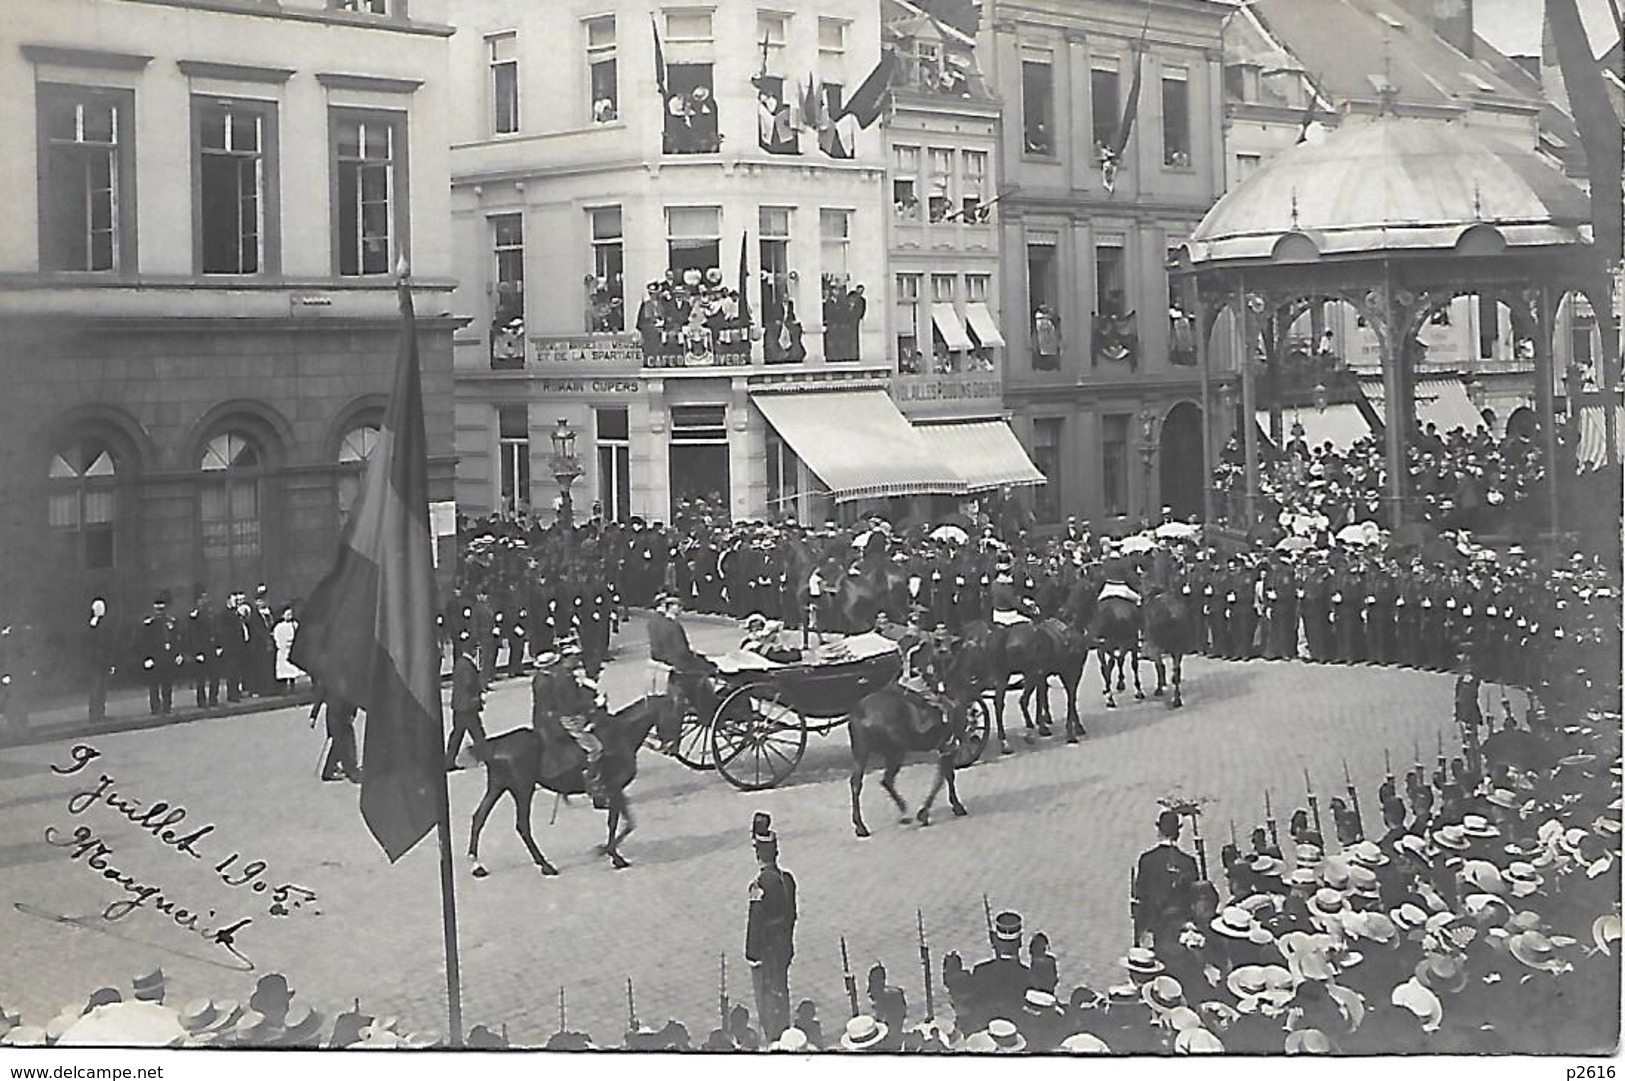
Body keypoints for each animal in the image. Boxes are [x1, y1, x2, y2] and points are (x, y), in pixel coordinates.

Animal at [468, 692, 669, 877]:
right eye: (674, 711)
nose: (668, 745)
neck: (621, 733)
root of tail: (496, 746)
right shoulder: (614, 787)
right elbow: (616, 823)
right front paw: (611, 854)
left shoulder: (616, 790)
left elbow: (627, 822)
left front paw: (608, 851)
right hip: (523, 789)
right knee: (522, 825)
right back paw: (546, 866)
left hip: (498, 786)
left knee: (479, 817)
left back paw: (477, 866)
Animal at [845, 637, 981, 838]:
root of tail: (861, 714)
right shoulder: (946, 746)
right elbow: (944, 776)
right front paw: (932, 811)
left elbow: (945, 776)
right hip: (893, 753)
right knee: (882, 781)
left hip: (867, 753)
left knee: (864, 783)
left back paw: (867, 823)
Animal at [962, 614, 1092, 751]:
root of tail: (1004, 634)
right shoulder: (1072, 672)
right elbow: (1071, 700)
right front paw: (1073, 731)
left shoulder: (1043, 675)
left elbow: (1042, 697)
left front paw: (1043, 726)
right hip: (1030, 674)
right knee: (1022, 700)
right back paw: (1028, 733)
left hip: (1004, 676)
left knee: (999, 704)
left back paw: (1004, 741)